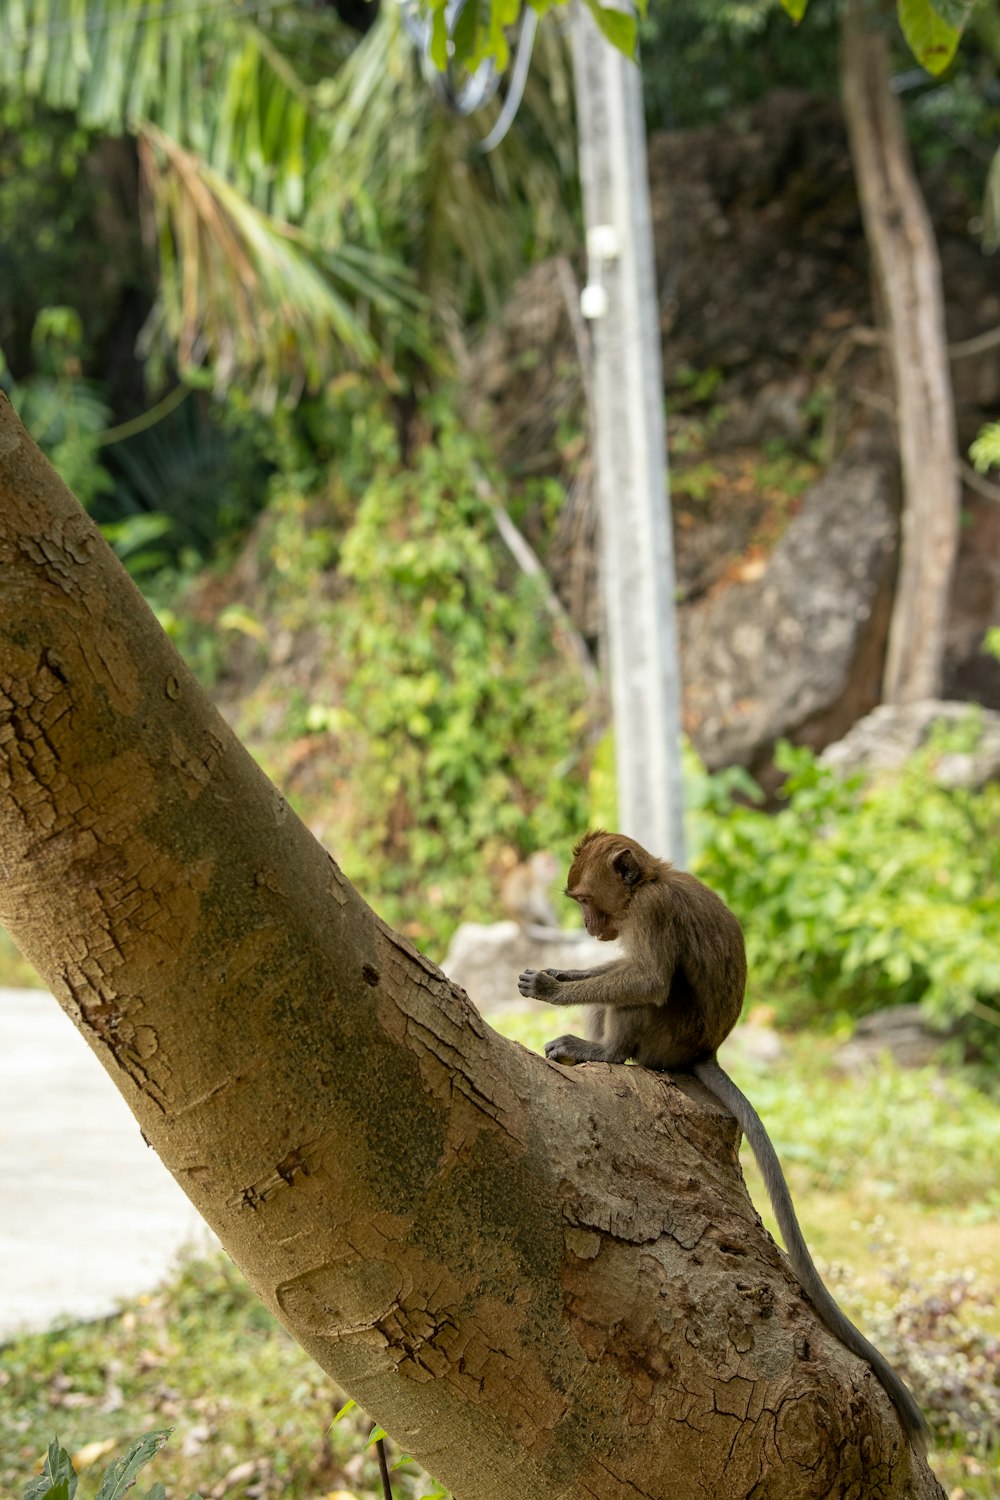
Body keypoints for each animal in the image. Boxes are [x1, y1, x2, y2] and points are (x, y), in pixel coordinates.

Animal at [521, 834, 935, 1452]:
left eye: (584, 900)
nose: (590, 927)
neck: (650, 883)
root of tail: (704, 1052)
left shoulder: (653, 914)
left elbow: (647, 980)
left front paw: (551, 988)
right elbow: (622, 969)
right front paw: (562, 971)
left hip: (667, 1036)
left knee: (647, 993)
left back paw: (604, 1054)